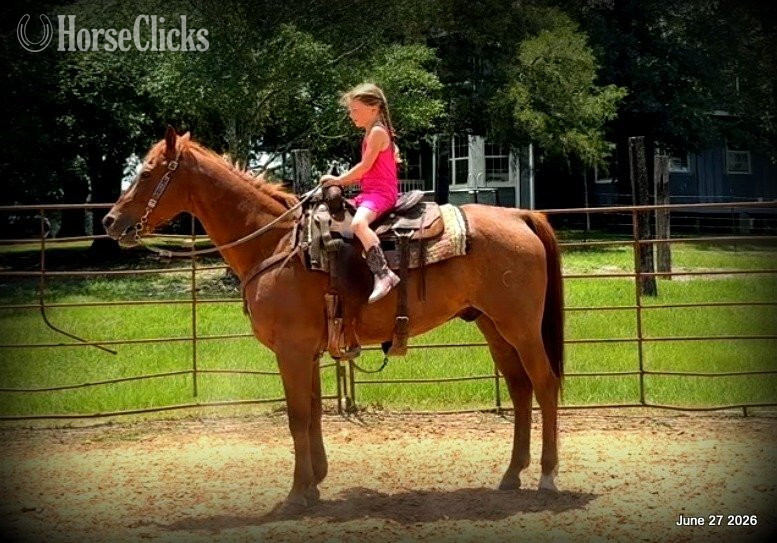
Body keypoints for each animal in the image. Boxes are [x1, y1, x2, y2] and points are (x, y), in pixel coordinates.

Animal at [103, 127, 564, 507]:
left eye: (147, 173)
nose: (110, 220)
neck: (276, 243)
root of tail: (521, 215)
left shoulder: (291, 351)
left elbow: (297, 418)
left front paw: (295, 495)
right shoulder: (305, 352)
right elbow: (312, 413)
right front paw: (313, 484)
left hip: (521, 328)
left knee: (544, 385)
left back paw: (547, 477)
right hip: (493, 326)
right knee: (520, 389)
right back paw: (511, 475)